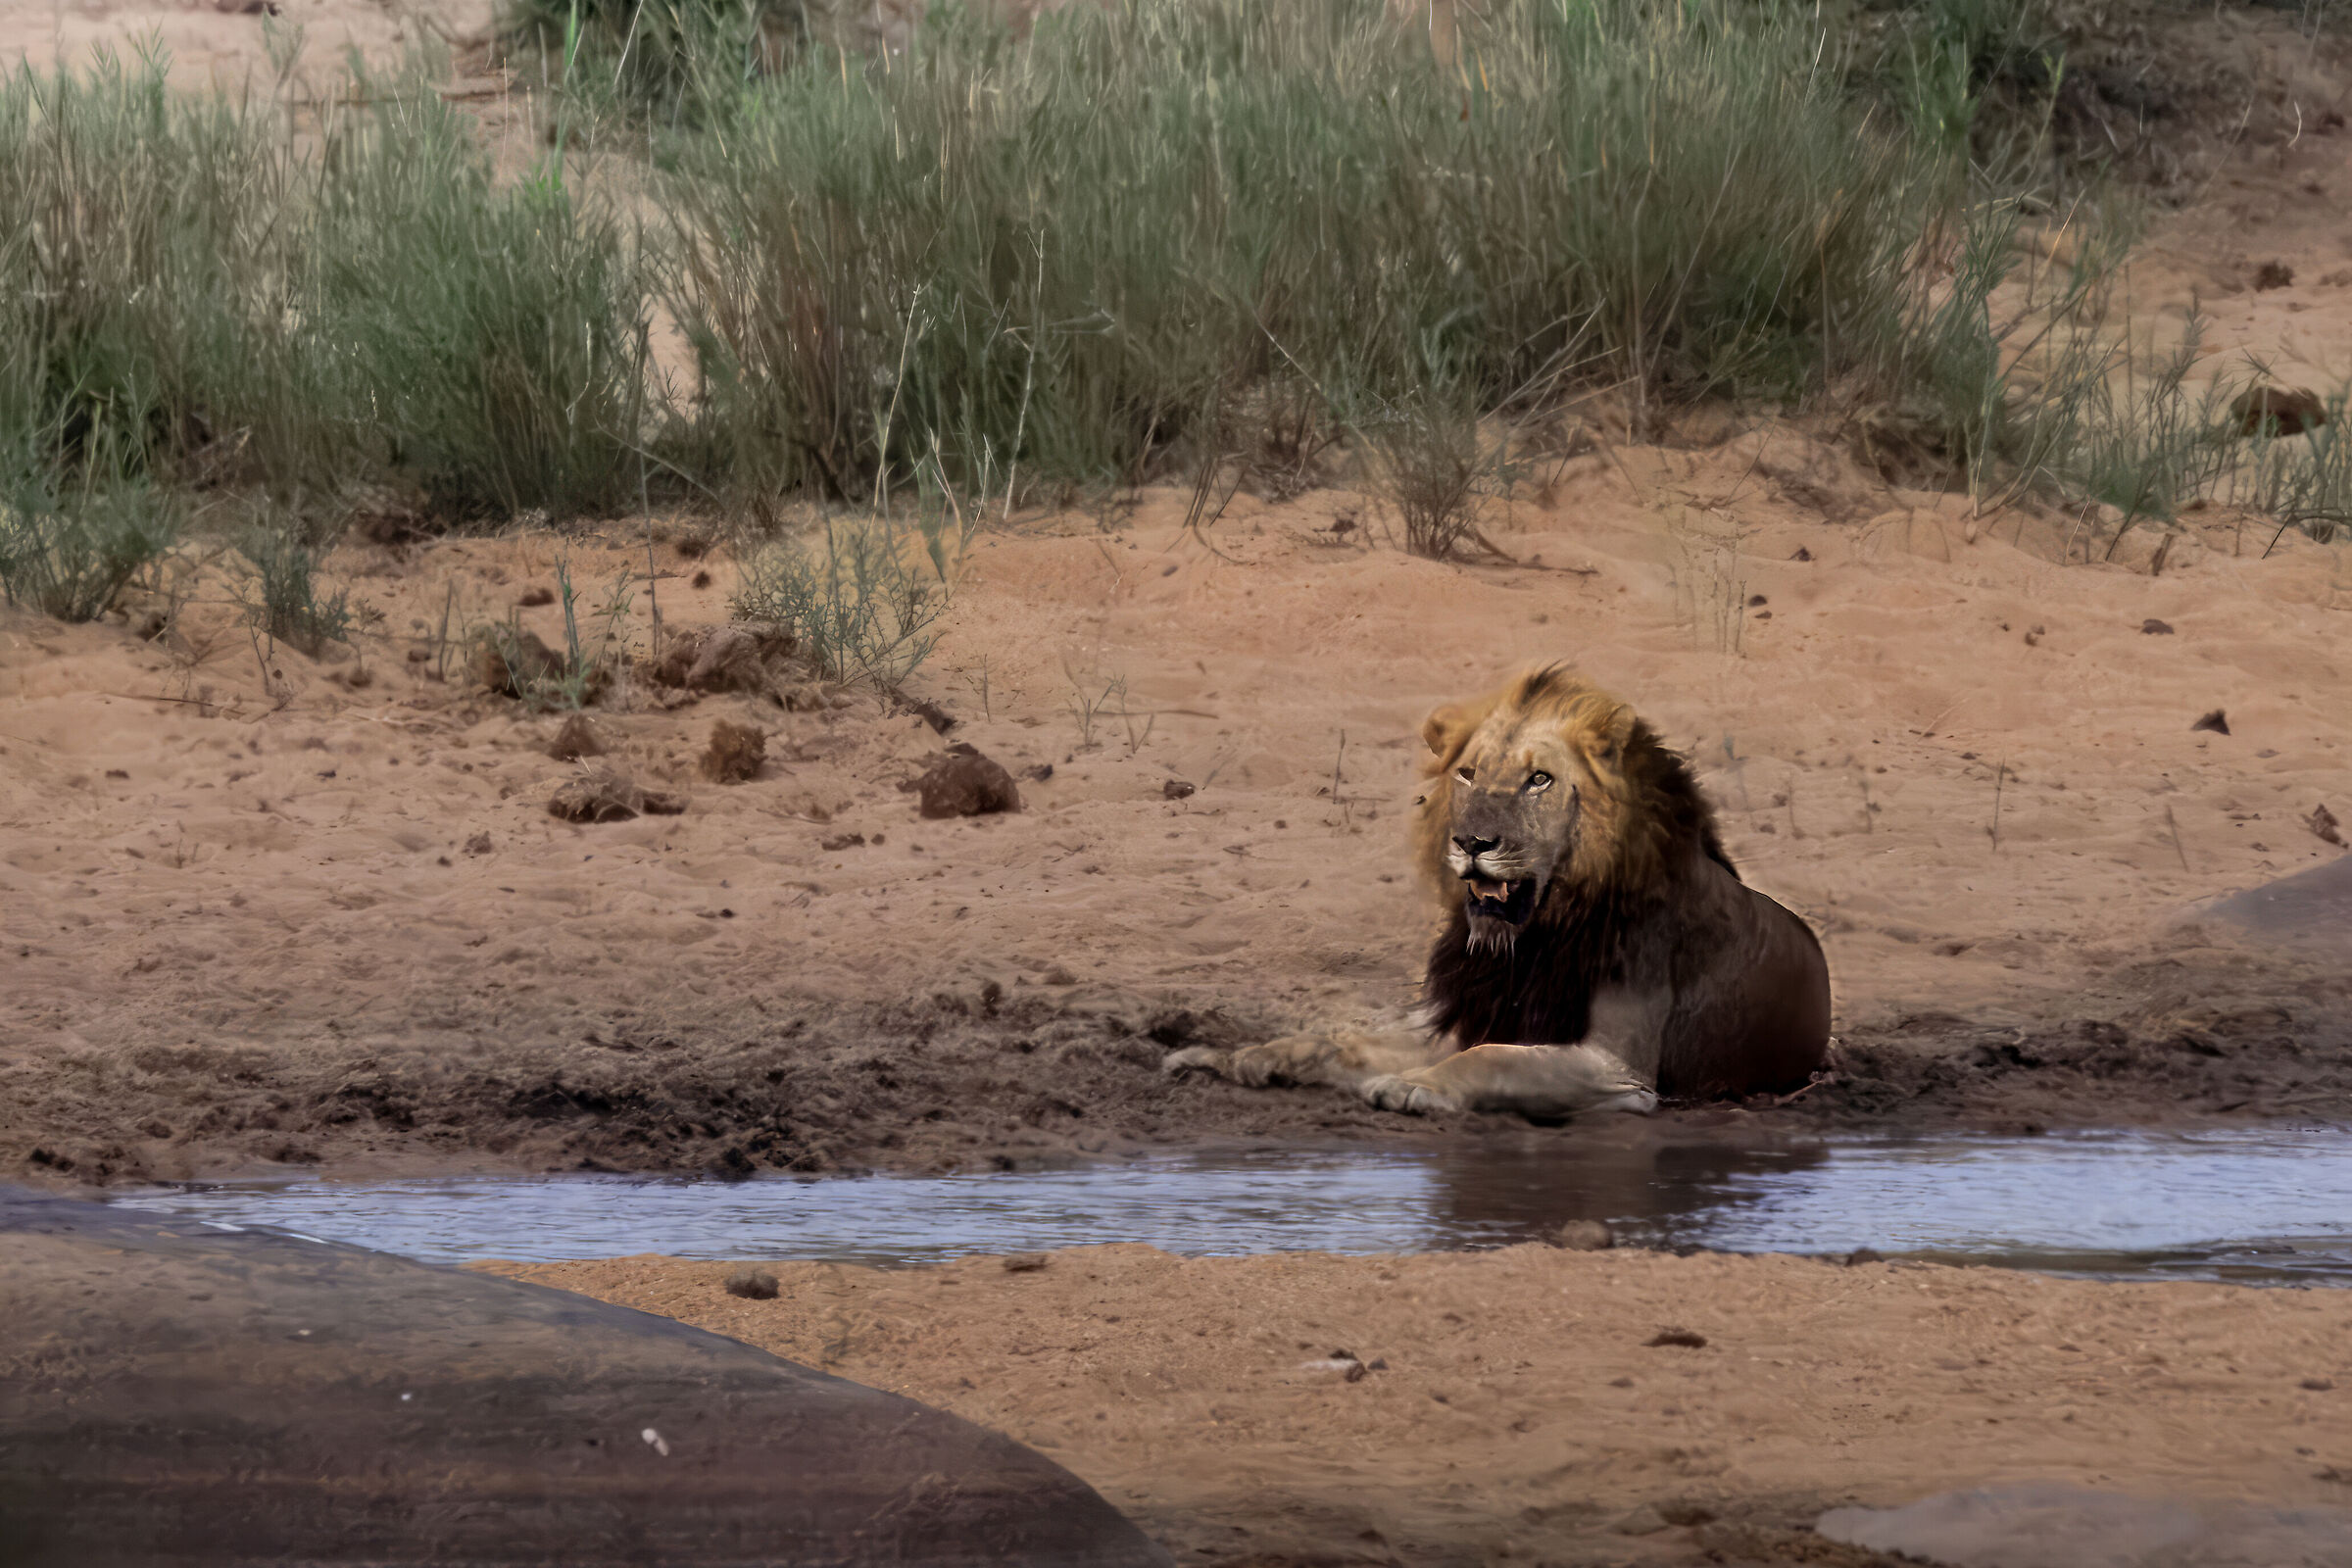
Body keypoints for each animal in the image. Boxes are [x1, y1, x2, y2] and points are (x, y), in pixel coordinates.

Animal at [1167, 664, 1831, 1117]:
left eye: (1539, 780)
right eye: (1468, 773)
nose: (1471, 841)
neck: (1533, 940)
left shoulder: (1622, 1069)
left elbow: (1490, 1059)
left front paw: (1415, 1086)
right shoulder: (1465, 1013)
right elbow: (1338, 1043)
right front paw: (1236, 1057)